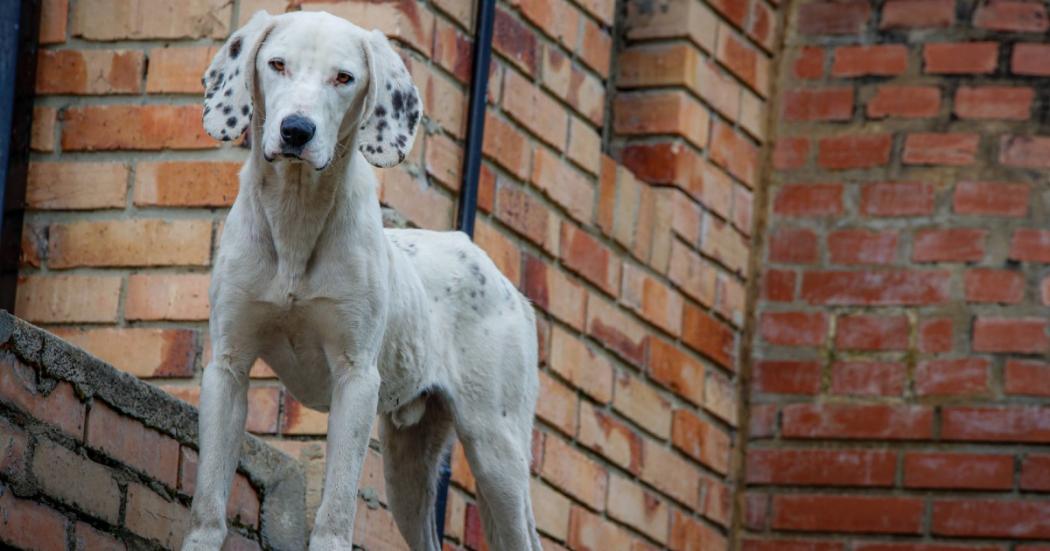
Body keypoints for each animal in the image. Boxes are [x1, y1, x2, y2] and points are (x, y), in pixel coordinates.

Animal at [181, 9, 541, 549]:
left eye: (344, 78)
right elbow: (207, 503)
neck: (296, 217)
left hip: (497, 452)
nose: (296, 130)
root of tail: (504, 281)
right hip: (409, 466)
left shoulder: (356, 379)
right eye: (277, 64)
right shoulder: (228, 367)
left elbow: (336, 511)